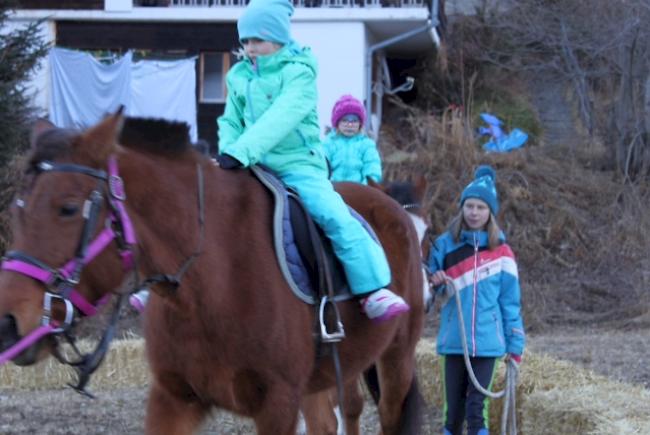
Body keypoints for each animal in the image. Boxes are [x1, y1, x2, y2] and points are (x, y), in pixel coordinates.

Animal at [0, 113, 422, 435]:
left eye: (68, 208)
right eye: (19, 207)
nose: (8, 323)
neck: (211, 284)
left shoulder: (278, 404)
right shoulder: (172, 399)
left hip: (395, 361)